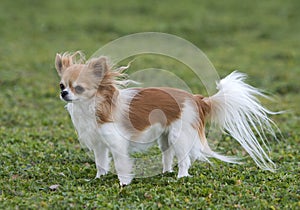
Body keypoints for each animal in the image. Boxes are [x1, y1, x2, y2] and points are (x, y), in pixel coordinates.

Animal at [54, 51, 278, 185]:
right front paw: (98, 179)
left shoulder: (117, 144)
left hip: (179, 136)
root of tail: (196, 99)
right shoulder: (100, 144)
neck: (90, 107)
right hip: (165, 136)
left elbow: (121, 164)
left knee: (184, 160)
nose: (64, 93)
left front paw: (123, 184)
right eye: (62, 85)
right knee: (167, 155)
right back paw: (166, 172)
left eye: (79, 88)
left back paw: (180, 177)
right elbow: (101, 162)